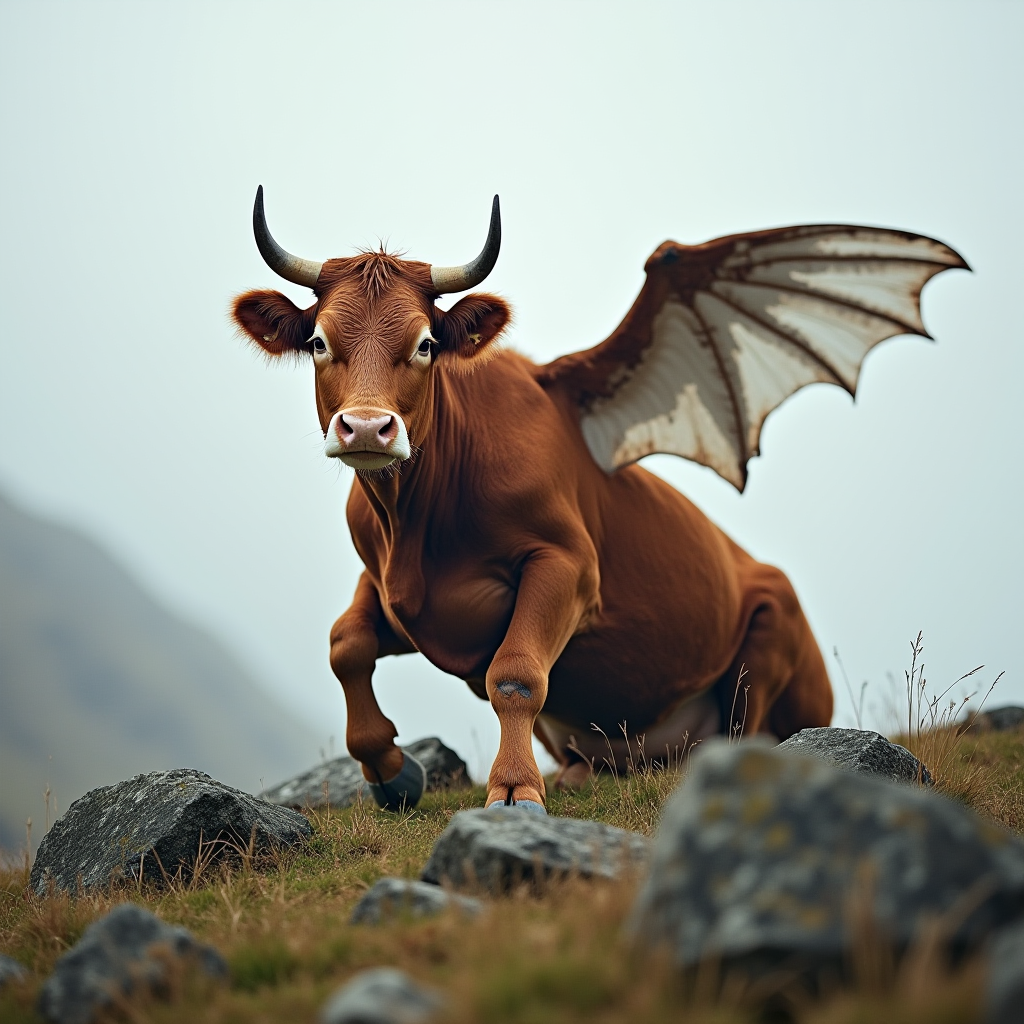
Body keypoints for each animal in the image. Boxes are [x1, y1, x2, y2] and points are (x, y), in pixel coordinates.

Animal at [232, 192, 966, 811]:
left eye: (427, 344)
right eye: (319, 341)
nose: (365, 429)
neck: (418, 520)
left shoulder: (569, 569)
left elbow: (516, 674)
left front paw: (514, 790)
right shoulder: (393, 587)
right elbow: (345, 643)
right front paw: (392, 771)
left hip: (772, 621)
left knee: (743, 735)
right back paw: (578, 773)